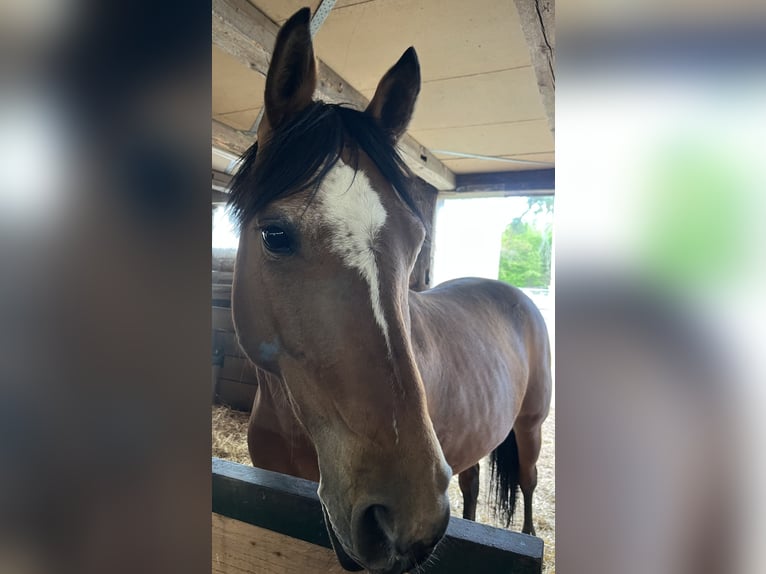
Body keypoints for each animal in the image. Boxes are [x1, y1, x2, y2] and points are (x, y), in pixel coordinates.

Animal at [228, 8, 552, 574]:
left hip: (530, 428)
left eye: (417, 237)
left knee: (530, 488)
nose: (408, 518)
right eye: (275, 235)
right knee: (471, 486)